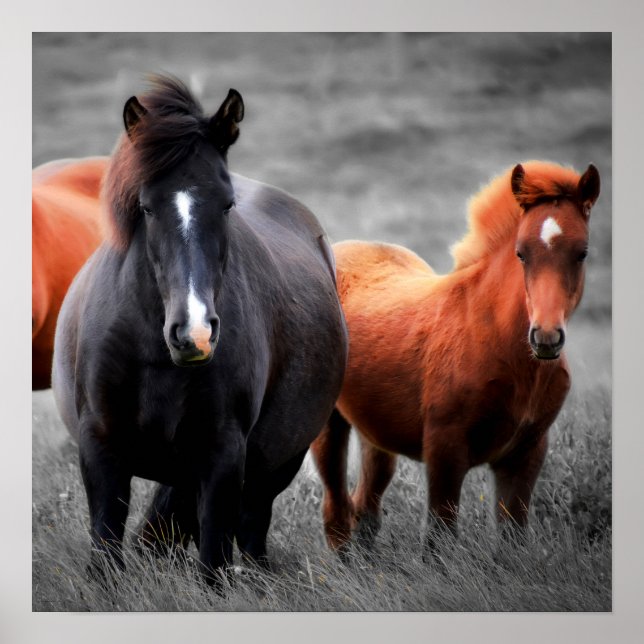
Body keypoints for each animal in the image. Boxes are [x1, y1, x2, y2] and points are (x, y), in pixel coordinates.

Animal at [52, 75, 348, 584]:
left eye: (227, 205)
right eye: (146, 207)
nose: (195, 334)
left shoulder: (223, 454)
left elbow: (213, 562)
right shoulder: (100, 447)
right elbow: (106, 554)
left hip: (277, 463)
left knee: (251, 530)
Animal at [311, 160, 600, 553]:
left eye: (582, 252)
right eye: (521, 252)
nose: (545, 337)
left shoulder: (526, 453)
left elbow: (512, 538)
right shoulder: (444, 450)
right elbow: (439, 539)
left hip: (376, 432)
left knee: (366, 505)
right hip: (328, 424)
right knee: (336, 511)